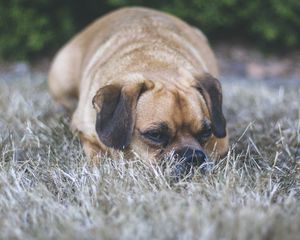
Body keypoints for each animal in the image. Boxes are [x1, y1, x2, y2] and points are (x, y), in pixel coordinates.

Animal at [48, 6, 229, 174]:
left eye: (206, 132)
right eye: (155, 135)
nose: (193, 157)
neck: (154, 63)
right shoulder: (84, 131)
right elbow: (97, 153)